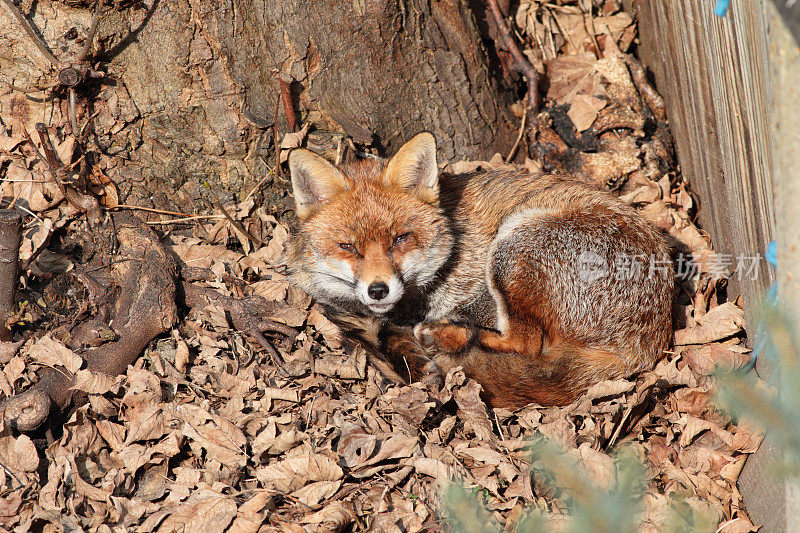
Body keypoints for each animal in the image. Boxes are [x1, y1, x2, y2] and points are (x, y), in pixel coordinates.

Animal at [284, 133, 672, 408]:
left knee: (527, 344)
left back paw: (446, 337)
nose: (377, 289)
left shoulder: (478, 291)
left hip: (514, 246)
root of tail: (647, 341)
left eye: (401, 239)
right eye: (348, 247)